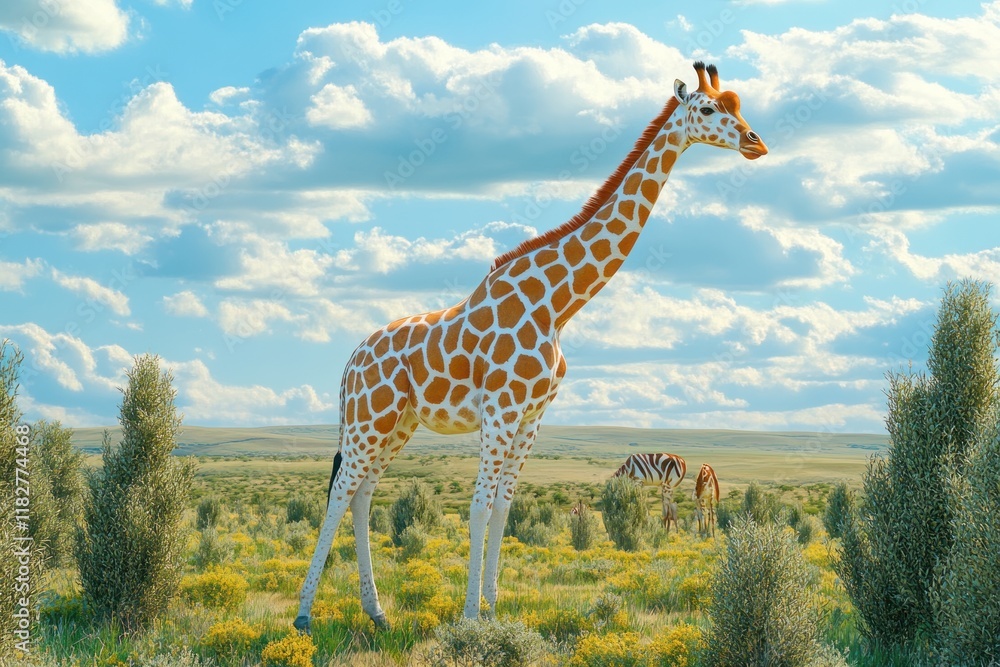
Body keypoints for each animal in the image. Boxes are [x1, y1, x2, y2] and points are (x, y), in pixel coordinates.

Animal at [294, 61, 767, 633]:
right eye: (708, 108)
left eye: (738, 106)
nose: (757, 142)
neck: (558, 304)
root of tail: (349, 364)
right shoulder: (501, 410)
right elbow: (478, 506)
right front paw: (470, 617)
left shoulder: (532, 416)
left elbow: (504, 506)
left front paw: (494, 608)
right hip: (369, 420)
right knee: (340, 493)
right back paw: (304, 616)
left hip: (397, 424)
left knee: (363, 495)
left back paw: (378, 612)